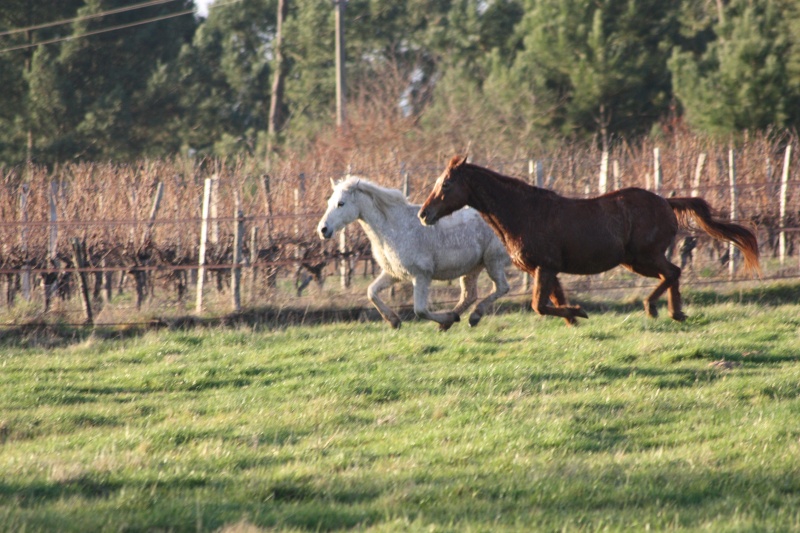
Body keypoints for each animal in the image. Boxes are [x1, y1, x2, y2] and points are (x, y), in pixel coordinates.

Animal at [316, 177, 510, 330]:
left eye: (341, 203)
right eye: (328, 202)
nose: (323, 230)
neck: (394, 228)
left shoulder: (421, 275)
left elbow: (420, 310)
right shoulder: (394, 273)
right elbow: (371, 292)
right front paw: (394, 322)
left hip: (493, 261)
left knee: (501, 288)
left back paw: (471, 317)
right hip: (473, 267)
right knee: (470, 295)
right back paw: (449, 322)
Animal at [418, 156, 764, 324]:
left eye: (446, 184)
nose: (424, 214)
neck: (523, 212)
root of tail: (666, 202)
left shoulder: (544, 267)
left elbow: (539, 306)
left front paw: (580, 312)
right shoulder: (547, 271)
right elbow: (553, 302)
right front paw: (574, 317)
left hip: (644, 256)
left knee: (673, 272)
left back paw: (656, 309)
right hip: (635, 261)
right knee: (672, 273)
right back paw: (674, 313)